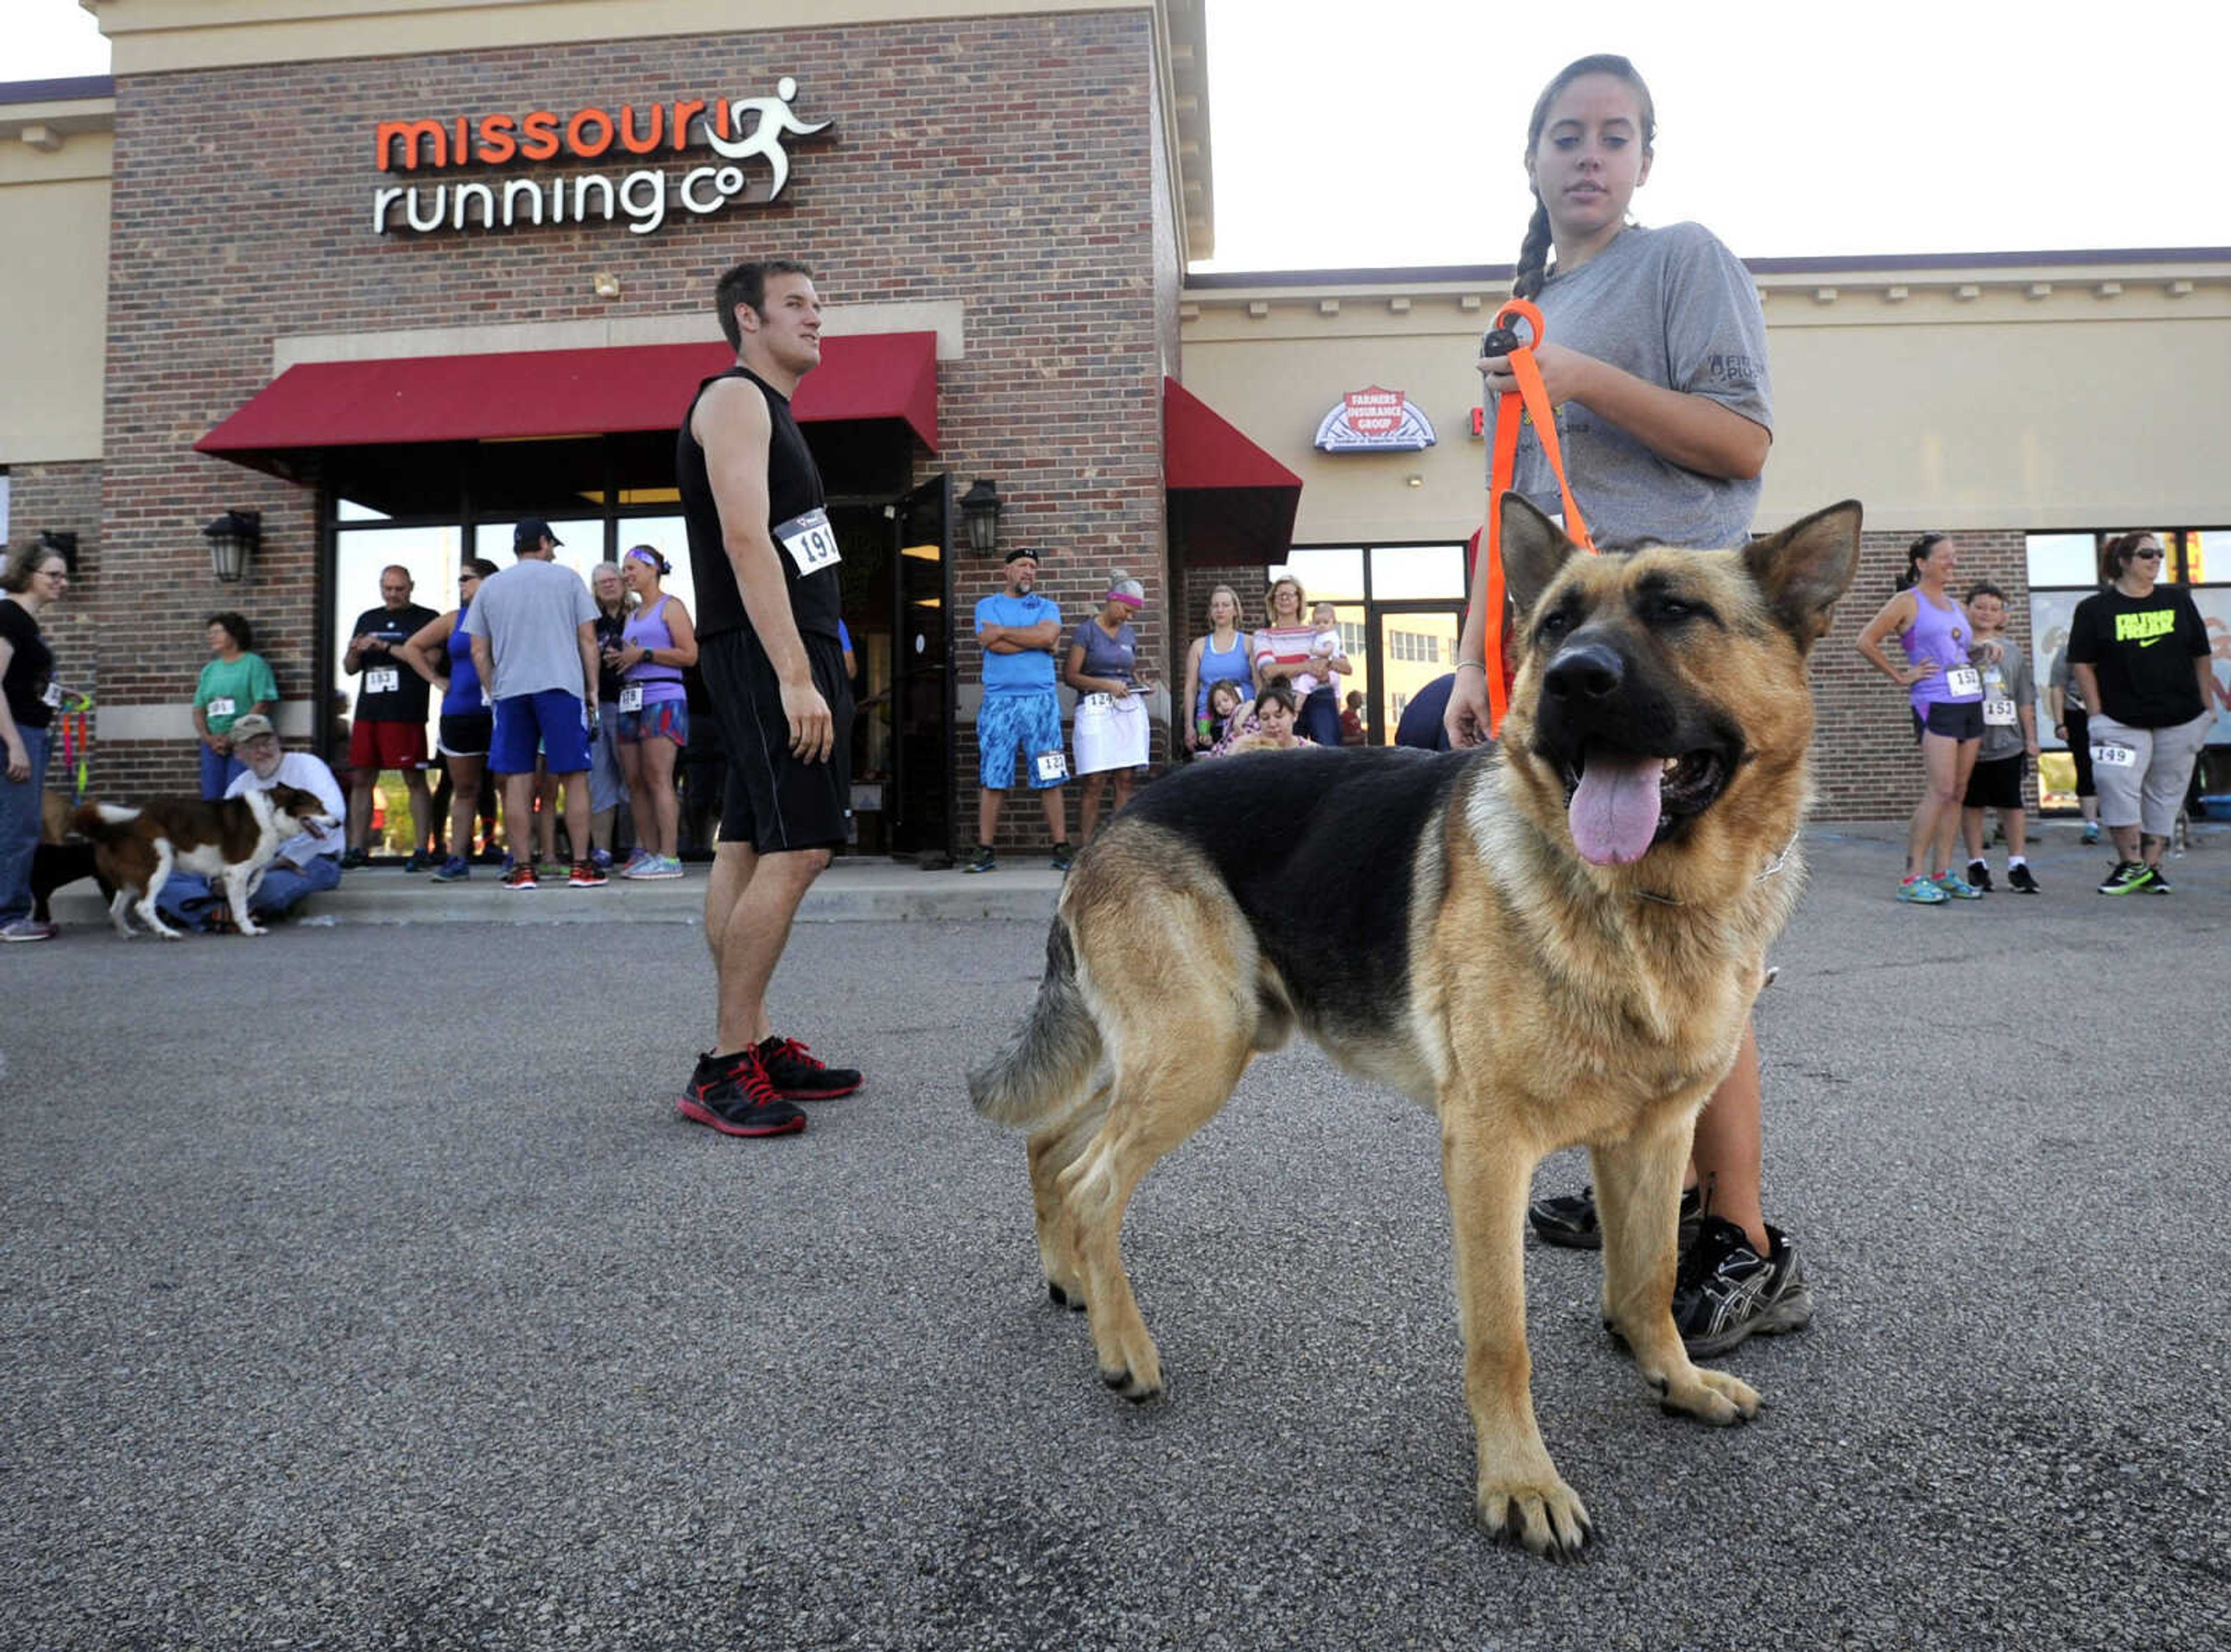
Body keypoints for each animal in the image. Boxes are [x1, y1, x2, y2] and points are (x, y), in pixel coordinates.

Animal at [70, 789, 335, 940]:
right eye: (318, 806)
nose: (339, 823)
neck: (271, 815)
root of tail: (109, 829)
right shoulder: (236, 870)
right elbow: (240, 906)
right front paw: (249, 929)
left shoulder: (242, 869)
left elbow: (260, 874)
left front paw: (252, 890)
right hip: (159, 863)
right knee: (144, 907)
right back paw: (167, 932)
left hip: (133, 879)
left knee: (116, 909)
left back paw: (127, 933)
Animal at [977, 497, 1865, 1552]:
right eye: (1557, 623)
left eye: (1676, 611)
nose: (1571, 680)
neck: (1646, 898)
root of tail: (1110, 824)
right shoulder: (1486, 1148)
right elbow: (1501, 1337)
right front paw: (1520, 1481)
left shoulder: (1653, 1135)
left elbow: (1646, 1279)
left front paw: (1678, 1380)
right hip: (1198, 1053)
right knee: (1091, 1178)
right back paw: (1126, 1350)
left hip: (1171, 1048)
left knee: (1050, 1147)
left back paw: (1069, 1280)